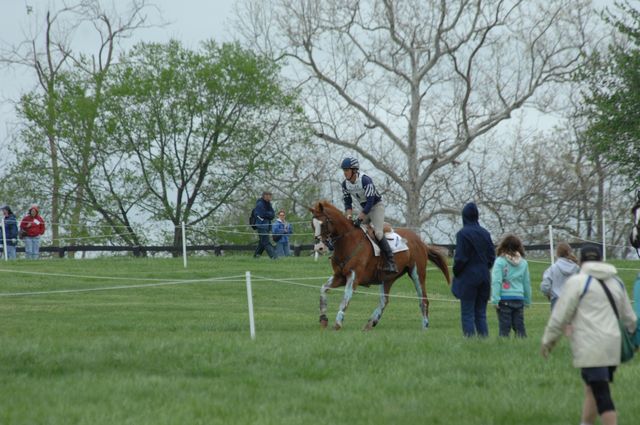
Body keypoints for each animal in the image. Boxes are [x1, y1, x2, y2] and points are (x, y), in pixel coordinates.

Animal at [310, 200, 450, 330]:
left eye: (323, 224)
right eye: (312, 225)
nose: (319, 248)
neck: (348, 241)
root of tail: (421, 242)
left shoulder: (353, 277)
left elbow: (345, 298)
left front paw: (337, 323)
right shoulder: (340, 277)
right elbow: (323, 289)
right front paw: (323, 319)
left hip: (417, 273)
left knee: (423, 300)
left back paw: (424, 327)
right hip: (387, 278)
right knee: (384, 301)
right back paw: (370, 323)